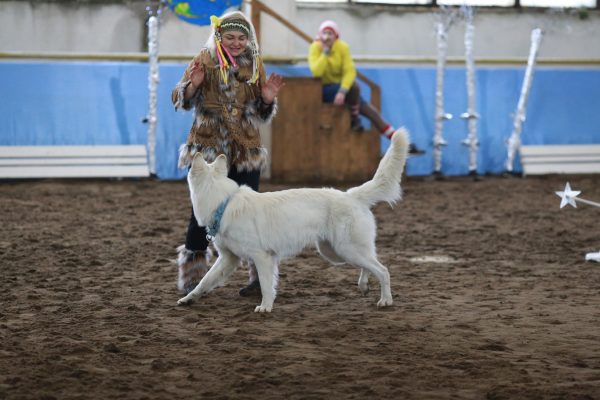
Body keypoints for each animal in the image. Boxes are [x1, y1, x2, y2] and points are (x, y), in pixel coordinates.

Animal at [178, 126, 410, 310]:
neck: (223, 204)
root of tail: (352, 195)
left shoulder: (262, 257)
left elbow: (265, 284)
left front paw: (265, 307)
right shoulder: (228, 258)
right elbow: (205, 281)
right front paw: (189, 298)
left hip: (346, 249)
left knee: (383, 270)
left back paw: (386, 300)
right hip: (335, 252)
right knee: (370, 264)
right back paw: (364, 285)